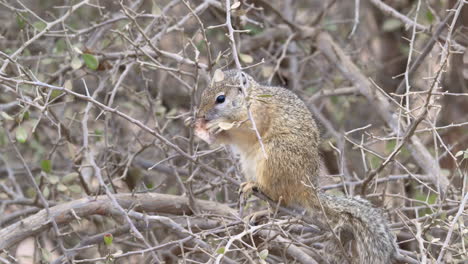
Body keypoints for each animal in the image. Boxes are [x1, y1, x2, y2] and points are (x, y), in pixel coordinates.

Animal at [193, 69, 394, 262]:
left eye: (221, 98)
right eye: (203, 93)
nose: (199, 115)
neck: (248, 100)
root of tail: (308, 185)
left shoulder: (259, 114)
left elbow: (249, 127)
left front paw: (217, 124)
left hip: (276, 156)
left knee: (279, 197)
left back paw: (254, 187)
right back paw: (257, 209)